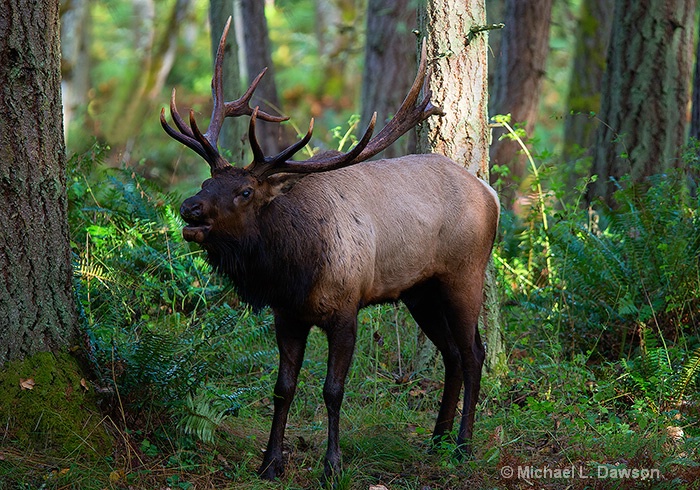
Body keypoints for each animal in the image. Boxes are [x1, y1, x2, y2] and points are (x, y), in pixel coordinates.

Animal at [161, 17, 500, 480]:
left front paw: (332, 465)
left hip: (464, 273)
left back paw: (463, 444)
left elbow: (333, 390)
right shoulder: (287, 315)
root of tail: (491, 194)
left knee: (472, 353)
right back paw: (437, 439)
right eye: (206, 181)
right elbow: (283, 388)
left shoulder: (345, 309)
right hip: (420, 290)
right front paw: (270, 463)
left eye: (245, 191)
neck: (296, 269)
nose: (189, 208)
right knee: (449, 353)